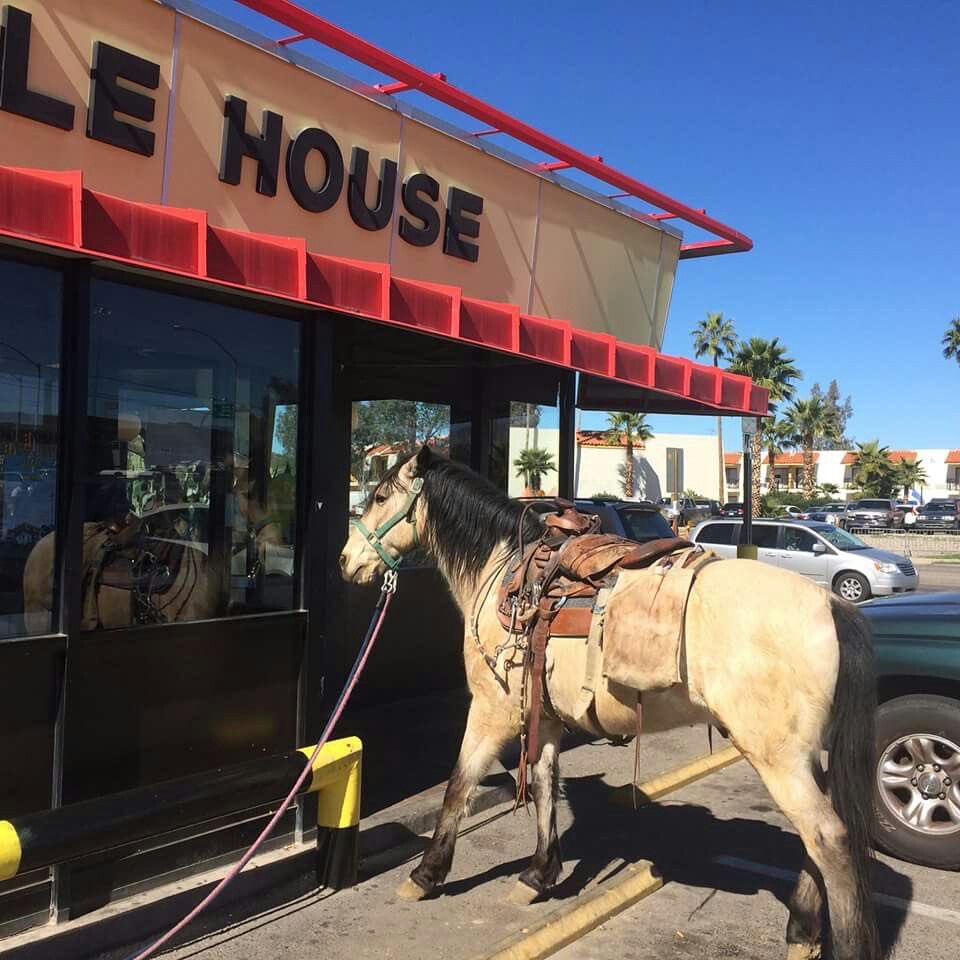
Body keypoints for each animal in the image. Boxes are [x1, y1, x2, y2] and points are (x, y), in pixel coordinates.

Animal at [339, 446, 880, 960]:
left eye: (380, 495)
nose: (346, 560)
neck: (502, 571)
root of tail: (832, 605)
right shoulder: (546, 716)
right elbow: (544, 784)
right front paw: (538, 875)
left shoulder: (492, 711)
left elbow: (458, 785)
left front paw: (426, 875)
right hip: (803, 758)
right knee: (818, 840)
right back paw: (802, 932)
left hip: (777, 758)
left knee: (829, 839)